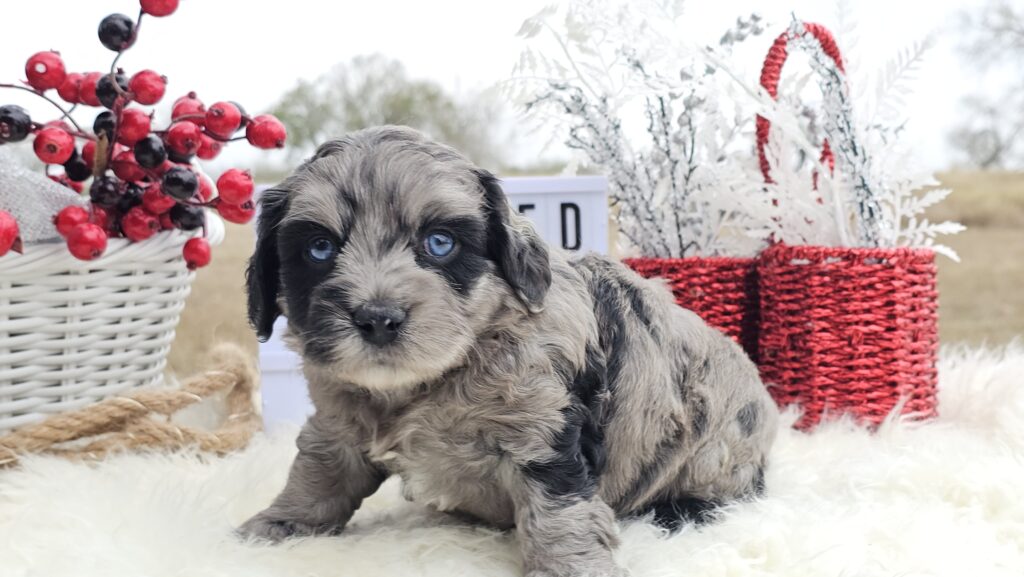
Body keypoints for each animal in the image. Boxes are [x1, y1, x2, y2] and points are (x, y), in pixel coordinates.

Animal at [237, 125, 774, 573]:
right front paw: (278, 525)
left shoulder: (544, 433)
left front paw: (570, 569)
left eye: (439, 243)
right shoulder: (337, 421)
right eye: (320, 249)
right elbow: (320, 471)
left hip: (720, 445)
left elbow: (557, 511)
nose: (377, 318)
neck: (429, 381)